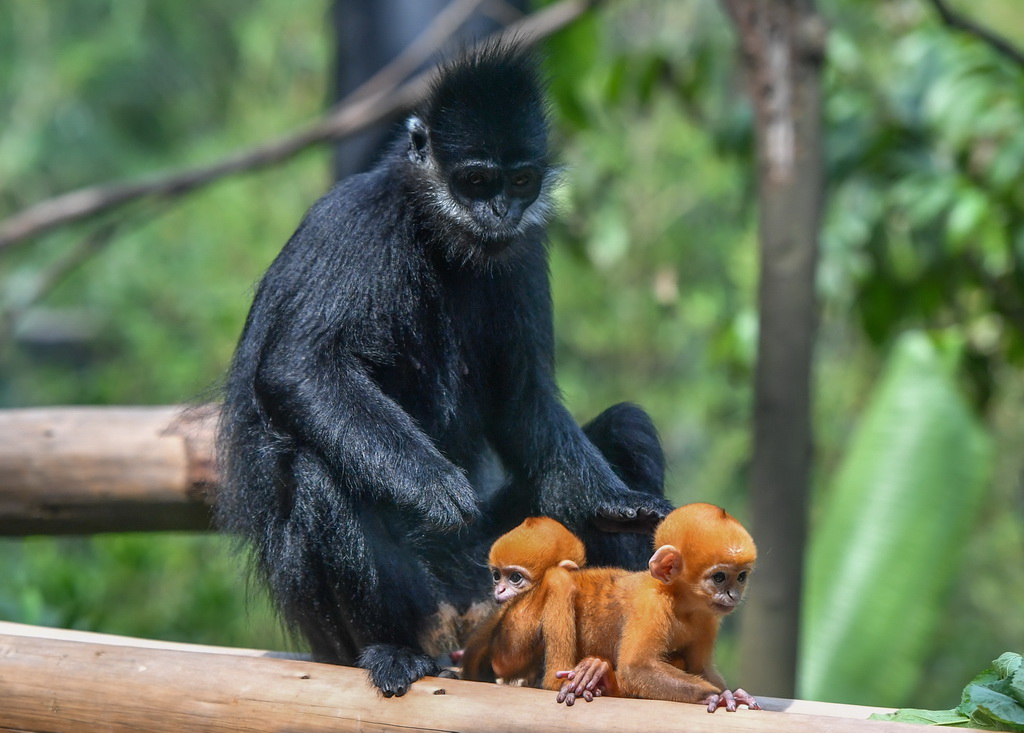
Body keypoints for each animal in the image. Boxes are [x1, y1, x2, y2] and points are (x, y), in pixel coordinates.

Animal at [552, 503, 761, 708]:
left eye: (741, 577)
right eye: (719, 578)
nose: (733, 595)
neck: (680, 602)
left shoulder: (706, 618)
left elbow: (700, 668)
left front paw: (735, 694)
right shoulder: (651, 603)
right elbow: (636, 668)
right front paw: (716, 696)